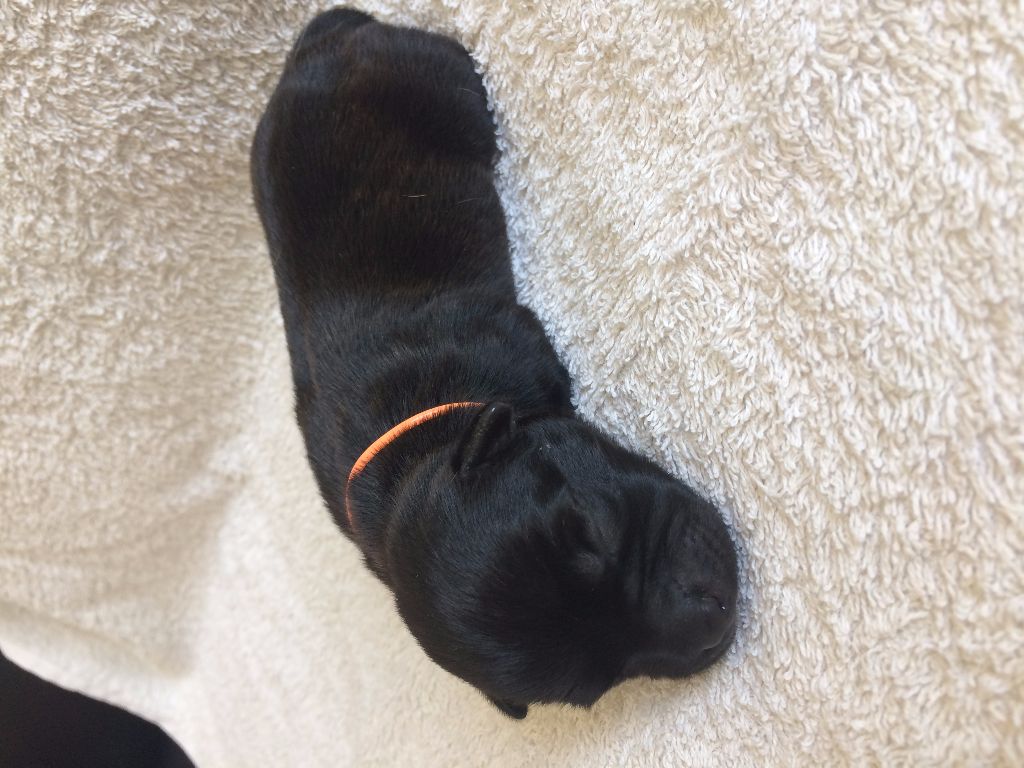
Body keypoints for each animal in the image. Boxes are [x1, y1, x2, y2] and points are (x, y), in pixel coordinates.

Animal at [251, 8, 739, 719]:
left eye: (598, 529)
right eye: (598, 685)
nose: (714, 616)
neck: (419, 452)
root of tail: (315, 45)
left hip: (431, 80)